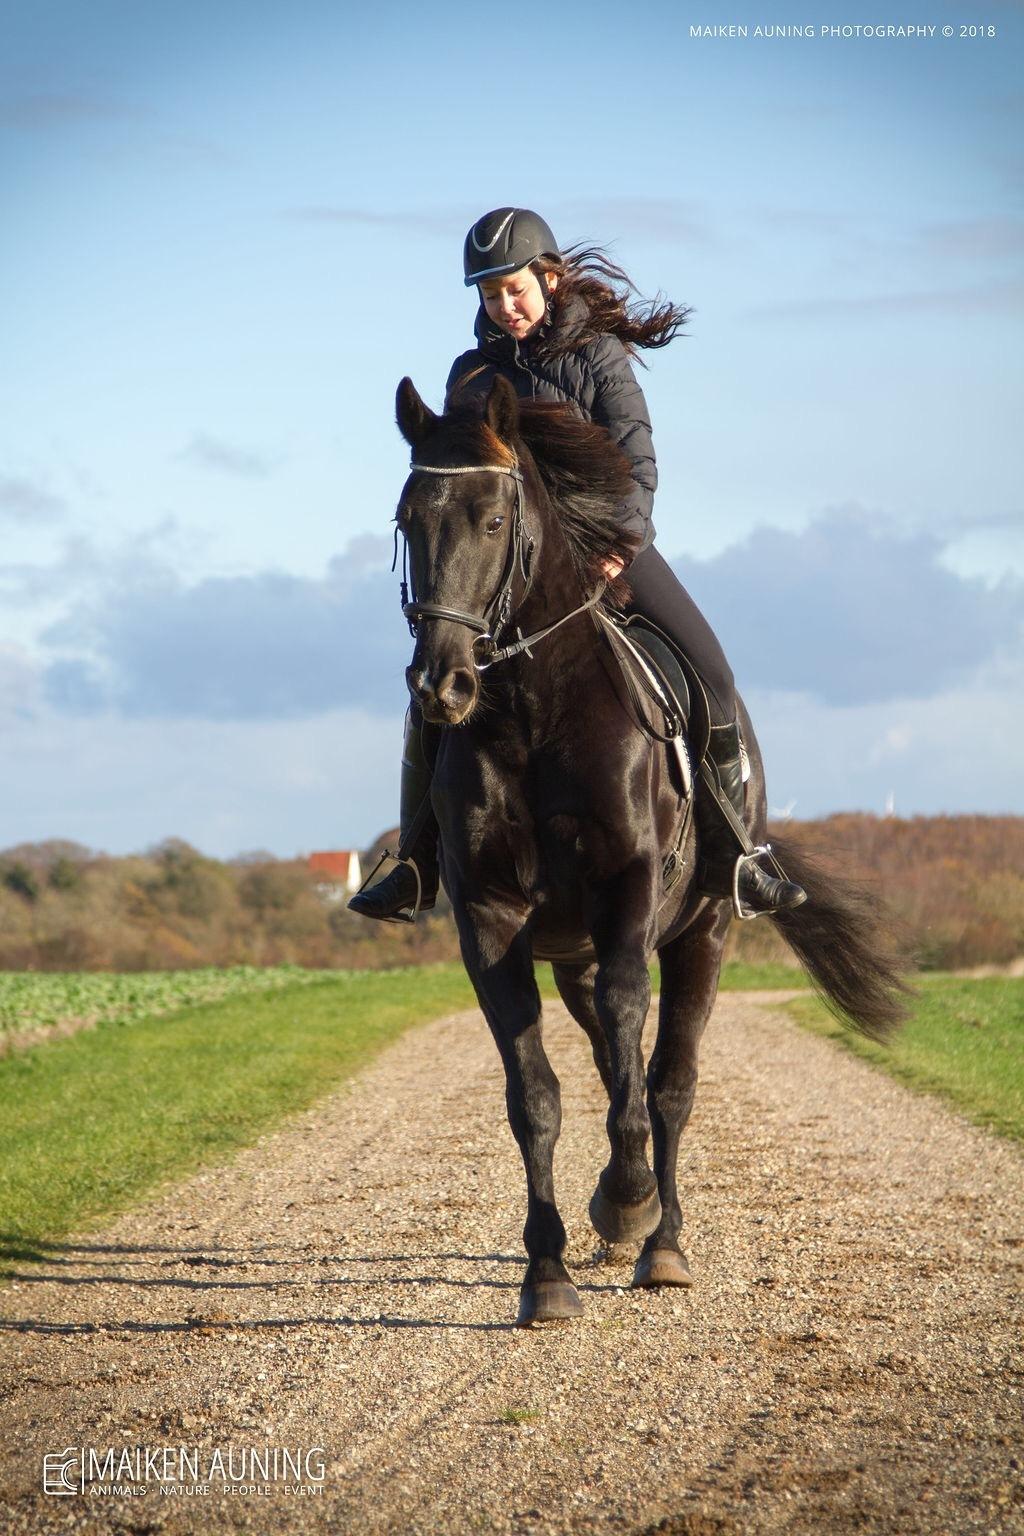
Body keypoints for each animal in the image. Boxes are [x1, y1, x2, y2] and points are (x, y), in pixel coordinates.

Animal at [386, 377, 902, 1327]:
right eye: (409, 518)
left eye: (492, 517)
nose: (441, 683)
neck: (532, 713)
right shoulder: (489, 919)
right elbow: (534, 1094)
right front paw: (546, 1272)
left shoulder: (626, 888)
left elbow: (640, 1049)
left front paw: (631, 1199)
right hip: (572, 954)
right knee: (609, 1057)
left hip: (705, 932)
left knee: (669, 1079)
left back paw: (660, 1237)